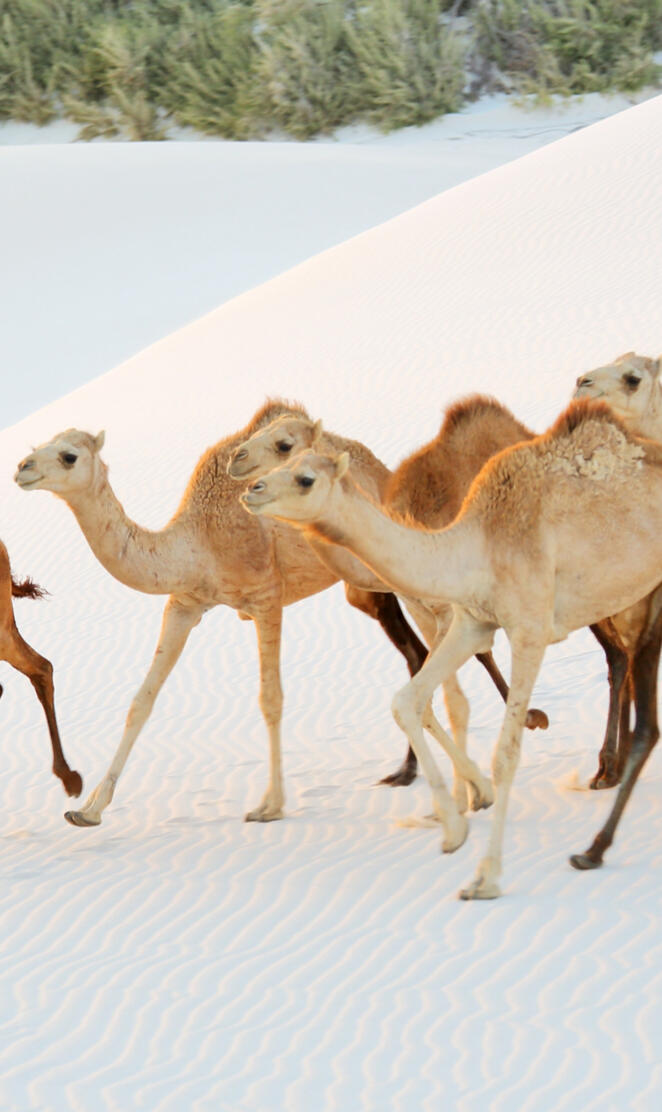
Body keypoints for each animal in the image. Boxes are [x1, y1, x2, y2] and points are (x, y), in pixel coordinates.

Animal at [13, 400, 438, 828]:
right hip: (364, 586)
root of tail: (382, 469)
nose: (22, 467)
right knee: (417, 652)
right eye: (40, 444)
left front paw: (270, 805)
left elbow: (270, 698)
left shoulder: (266, 597)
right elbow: (141, 701)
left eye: (69, 455)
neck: (199, 538)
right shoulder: (184, 603)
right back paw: (407, 771)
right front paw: (88, 809)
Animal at [228, 402, 548, 798]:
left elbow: (453, 691)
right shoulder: (418, 605)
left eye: (284, 445)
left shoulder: (448, 607)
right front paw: (461, 787)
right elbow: (436, 689)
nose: (236, 460)